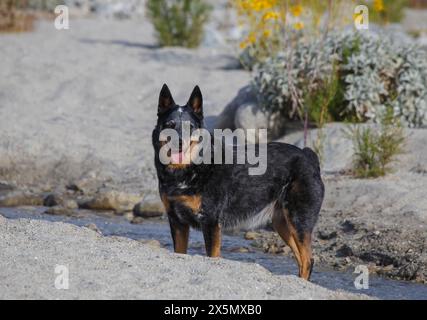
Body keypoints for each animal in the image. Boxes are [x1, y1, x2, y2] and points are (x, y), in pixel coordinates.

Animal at [153, 84, 324, 280]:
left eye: (190, 127)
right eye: (170, 125)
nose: (179, 142)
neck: (188, 170)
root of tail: (307, 155)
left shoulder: (210, 223)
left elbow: (212, 255)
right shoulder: (177, 222)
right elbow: (180, 253)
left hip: (298, 221)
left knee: (308, 259)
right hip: (282, 224)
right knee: (302, 260)